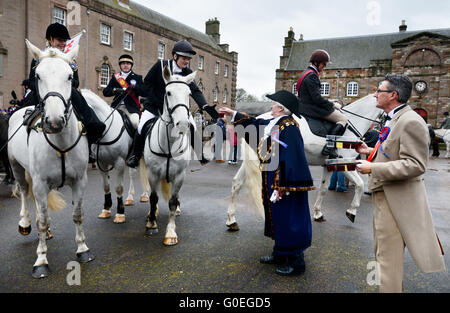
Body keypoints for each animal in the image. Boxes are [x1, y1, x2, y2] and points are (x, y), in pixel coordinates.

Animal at [8, 40, 93, 276]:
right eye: (38, 75)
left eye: (70, 76)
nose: (54, 122)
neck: (60, 143)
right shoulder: (39, 182)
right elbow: (43, 222)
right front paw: (41, 260)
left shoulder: (80, 181)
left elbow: (77, 214)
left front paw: (82, 249)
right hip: (17, 167)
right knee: (25, 194)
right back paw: (25, 223)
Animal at [81, 89, 150, 223]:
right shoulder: (101, 163)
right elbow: (106, 186)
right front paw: (106, 209)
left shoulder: (119, 163)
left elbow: (118, 187)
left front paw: (120, 213)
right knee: (132, 174)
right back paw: (130, 197)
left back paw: (145, 195)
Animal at [142, 66, 195, 245]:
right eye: (169, 93)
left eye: (189, 94)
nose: (183, 124)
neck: (169, 144)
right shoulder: (152, 173)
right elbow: (153, 198)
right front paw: (151, 223)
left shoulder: (179, 175)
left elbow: (172, 201)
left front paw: (171, 233)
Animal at [227, 92, 382, 229]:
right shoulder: (343, 162)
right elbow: (360, 185)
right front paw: (351, 212)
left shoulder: (328, 165)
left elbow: (323, 189)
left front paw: (318, 213)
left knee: (236, 183)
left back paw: (231, 220)